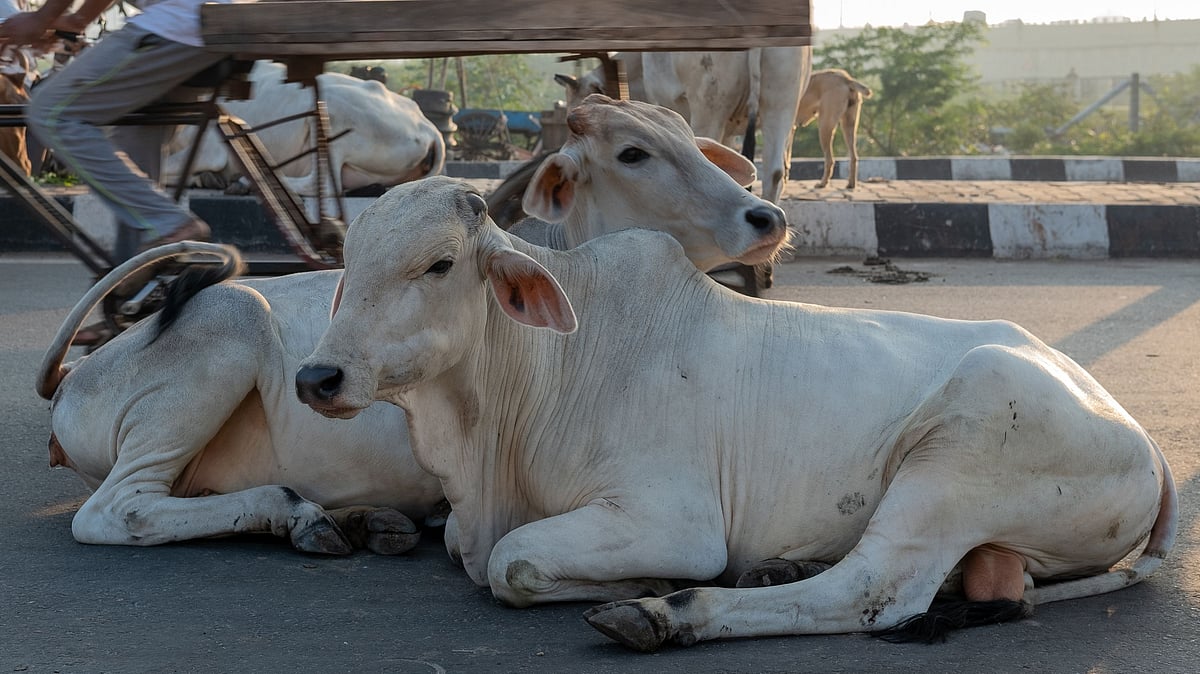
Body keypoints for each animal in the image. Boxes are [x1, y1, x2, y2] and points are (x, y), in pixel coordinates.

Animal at [34, 96, 786, 554]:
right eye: (633, 153)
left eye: (692, 141)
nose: (766, 217)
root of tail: (73, 377)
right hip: (230, 320)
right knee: (119, 509)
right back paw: (294, 512)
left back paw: (359, 520)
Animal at [296, 176, 1177, 652]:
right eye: (348, 263)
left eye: (440, 263)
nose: (318, 376)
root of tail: (1145, 441)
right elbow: (460, 546)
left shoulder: (672, 516)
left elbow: (510, 564)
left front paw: (654, 581)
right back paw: (773, 568)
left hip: (963, 445)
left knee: (874, 590)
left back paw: (668, 611)